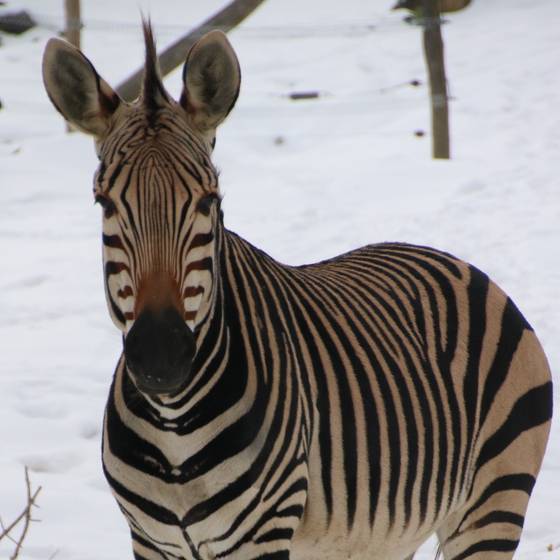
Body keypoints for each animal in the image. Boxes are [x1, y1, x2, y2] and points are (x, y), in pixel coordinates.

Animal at [42, 21, 552, 560]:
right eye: (104, 204)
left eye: (208, 200)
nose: (160, 355)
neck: (172, 422)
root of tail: (460, 264)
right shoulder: (151, 541)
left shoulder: (262, 532)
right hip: (389, 535)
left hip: (492, 504)